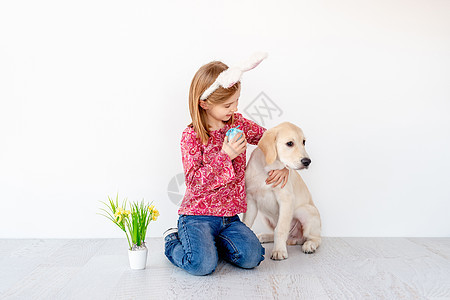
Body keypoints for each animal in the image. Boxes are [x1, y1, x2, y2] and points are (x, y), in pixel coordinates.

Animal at [244, 122, 322, 260]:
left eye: (304, 142)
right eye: (290, 143)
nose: (307, 161)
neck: (268, 168)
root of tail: (293, 239)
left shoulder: (286, 200)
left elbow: (280, 229)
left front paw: (279, 250)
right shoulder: (251, 200)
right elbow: (246, 223)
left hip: (306, 211)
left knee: (315, 238)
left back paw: (309, 245)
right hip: (265, 217)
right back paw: (264, 236)